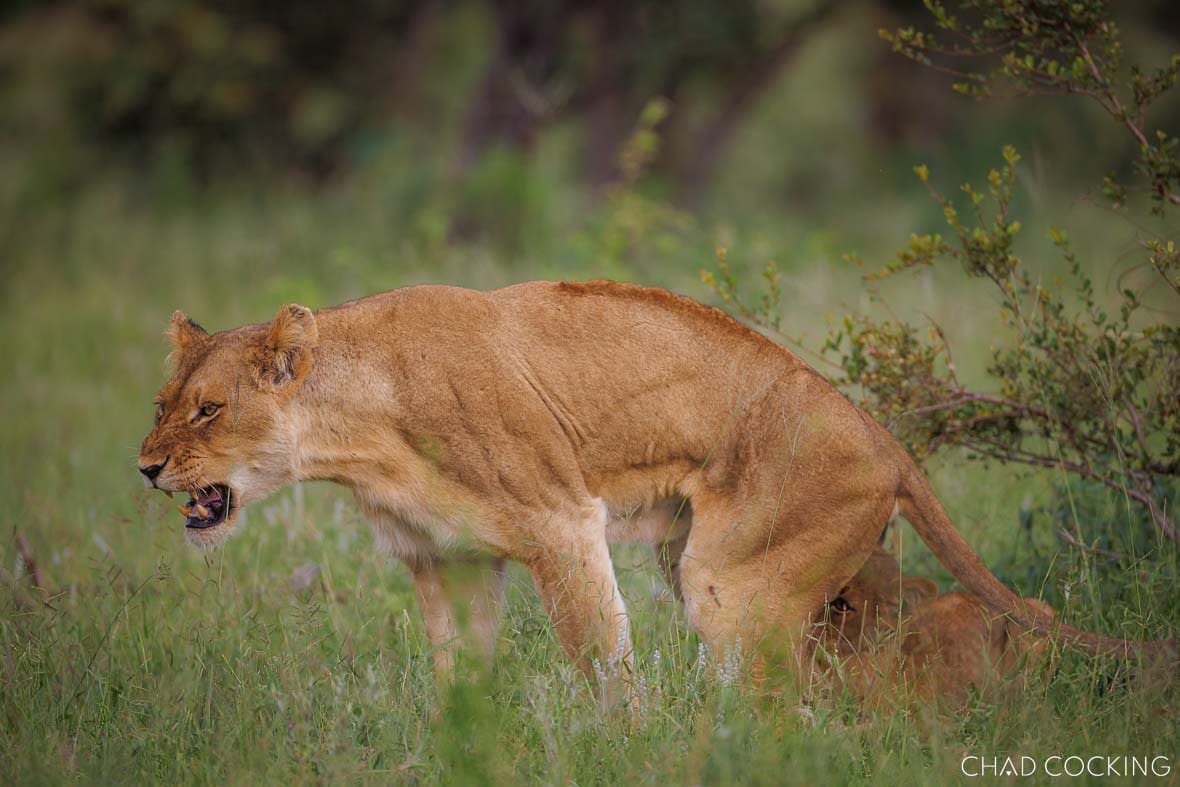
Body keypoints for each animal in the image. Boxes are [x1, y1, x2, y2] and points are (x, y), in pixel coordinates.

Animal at [137, 281, 1170, 691]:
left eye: (209, 411)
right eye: (163, 403)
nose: (144, 467)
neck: (357, 432)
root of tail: (885, 436)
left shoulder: (559, 521)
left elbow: (602, 659)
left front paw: (621, 746)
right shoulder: (448, 561)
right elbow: (459, 672)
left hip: (730, 582)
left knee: (782, 700)